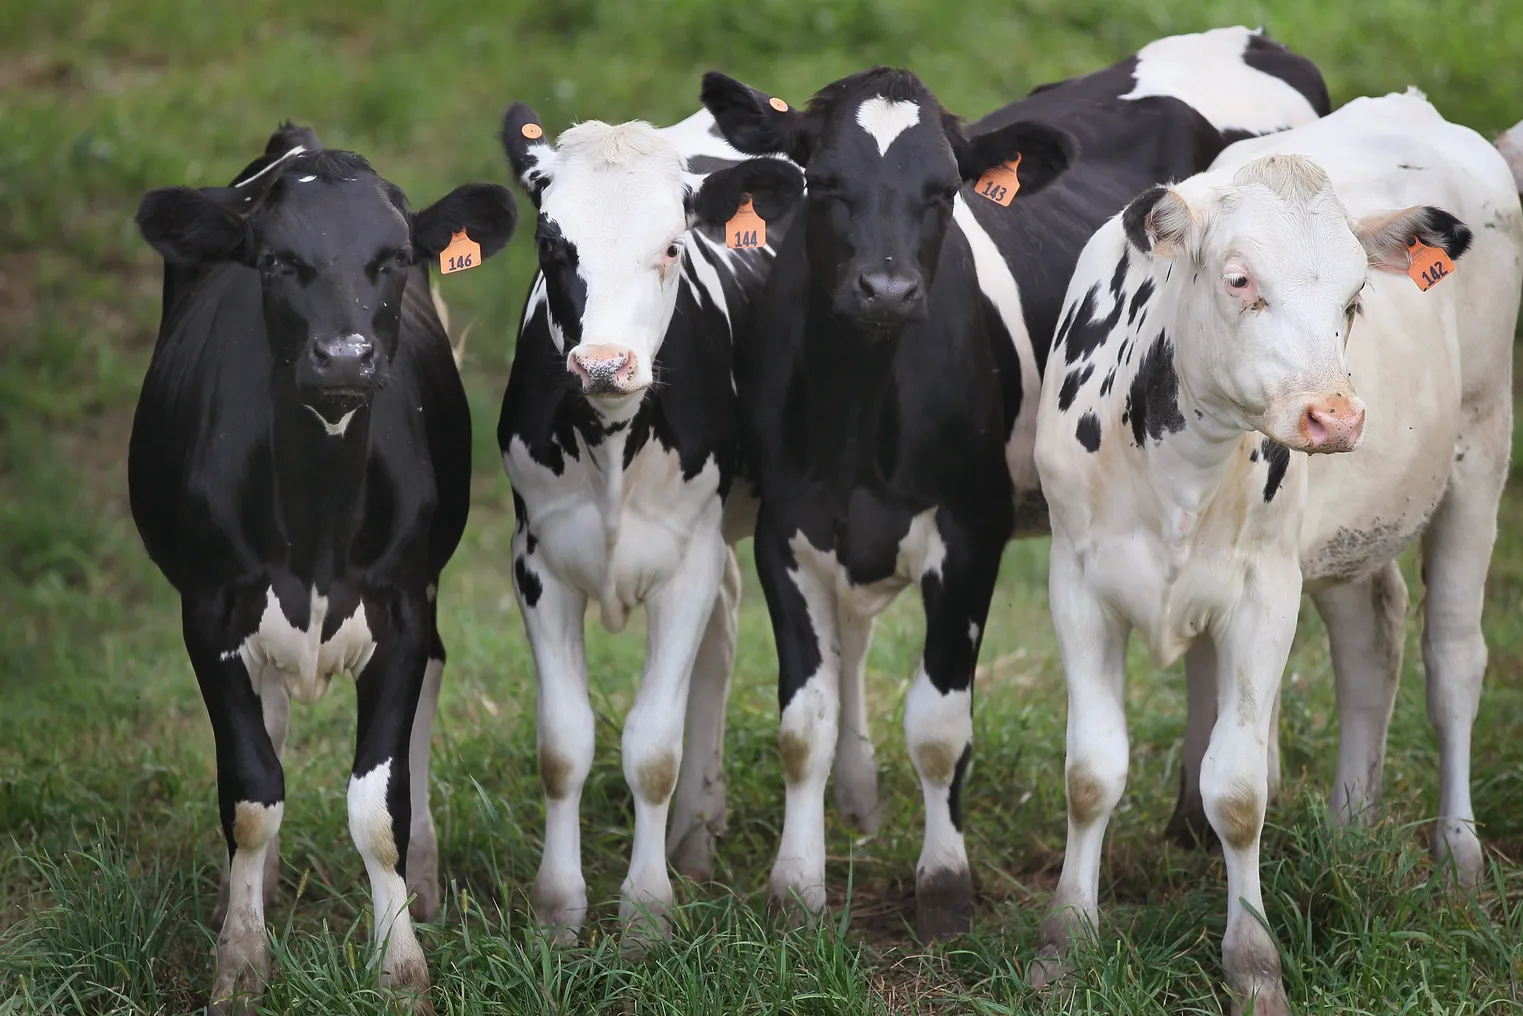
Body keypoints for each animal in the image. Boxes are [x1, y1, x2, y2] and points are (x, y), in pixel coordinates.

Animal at [127, 124, 517, 1011]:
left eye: (395, 257)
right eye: (276, 261)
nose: (344, 357)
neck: (317, 527)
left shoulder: (401, 610)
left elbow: (379, 808)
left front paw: (402, 967)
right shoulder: (208, 612)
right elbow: (250, 793)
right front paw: (240, 962)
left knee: (430, 684)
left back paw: (426, 880)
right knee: (268, 730)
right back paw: (250, 892)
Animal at [499, 99, 810, 944]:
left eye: (671, 245)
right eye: (550, 243)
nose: (604, 364)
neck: (610, 441)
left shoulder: (684, 565)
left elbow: (651, 750)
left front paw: (644, 913)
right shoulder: (536, 562)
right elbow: (563, 746)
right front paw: (557, 909)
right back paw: (698, 830)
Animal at [703, 23, 1334, 944]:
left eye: (941, 192)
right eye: (824, 180)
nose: (886, 289)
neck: (857, 411)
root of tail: (1248, 34)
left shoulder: (971, 533)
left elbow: (938, 726)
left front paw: (943, 887)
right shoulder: (784, 532)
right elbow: (801, 728)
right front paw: (795, 891)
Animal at [1029, 91, 1516, 1011]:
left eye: (1356, 298)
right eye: (1238, 279)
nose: (1335, 416)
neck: (1177, 462)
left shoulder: (1263, 592)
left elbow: (1237, 789)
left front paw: (1253, 962)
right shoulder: (1076, 581)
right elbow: (1089, 774)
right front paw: (1063, 944)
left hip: (1480, 448)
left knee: (1452, 661)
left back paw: (1459, 855)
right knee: (1370, 642)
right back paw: (1349, 831)